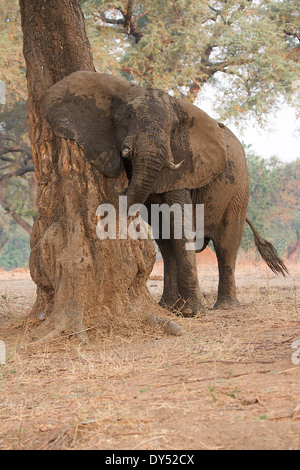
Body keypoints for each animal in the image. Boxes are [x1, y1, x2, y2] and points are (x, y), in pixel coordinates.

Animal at [41, 70, 286, 316]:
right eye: (127, 116)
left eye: (174, 127)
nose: (122, 186)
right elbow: (165, 229)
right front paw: (178, 309)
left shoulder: (184, 164)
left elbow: (179, 219)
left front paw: (192, 312)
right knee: (167, 244)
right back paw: (169, 307)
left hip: (239, 190)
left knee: (226, 245)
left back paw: (225, 306)